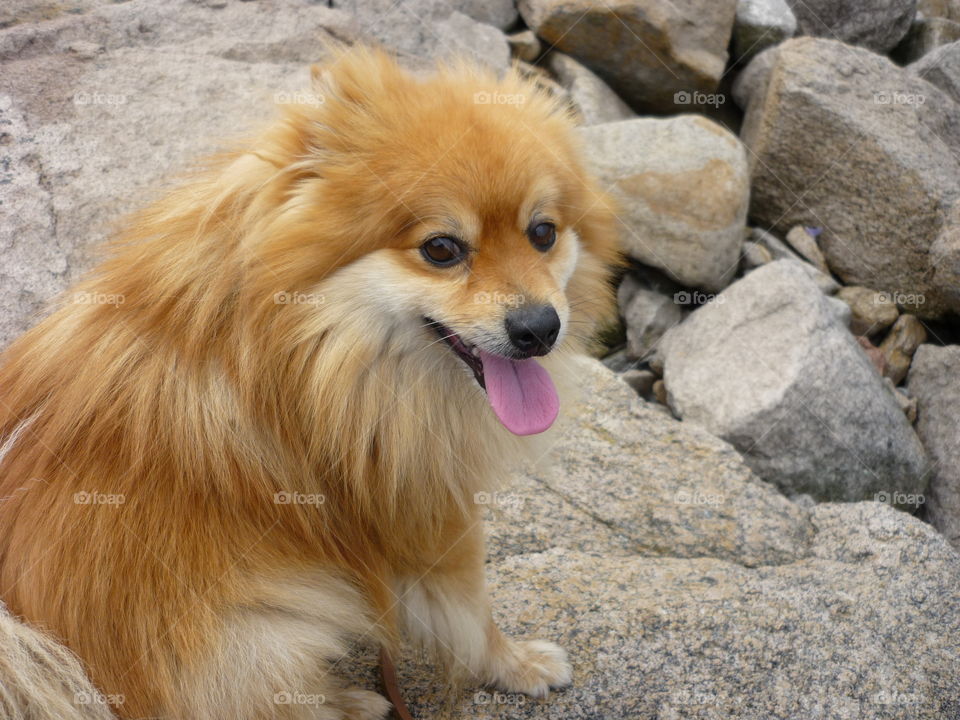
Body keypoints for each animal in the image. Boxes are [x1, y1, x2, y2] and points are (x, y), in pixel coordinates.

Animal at [0, 46, 620, 720]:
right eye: (441, 248)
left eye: (543, 233)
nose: (539, 327)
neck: (297, 342)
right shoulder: (422, 507)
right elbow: (470, 614)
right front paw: (517, 665)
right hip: (263, 630)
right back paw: (348, 700)